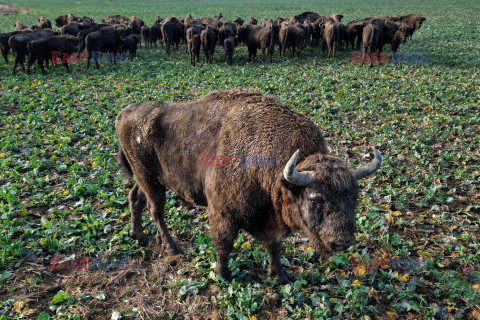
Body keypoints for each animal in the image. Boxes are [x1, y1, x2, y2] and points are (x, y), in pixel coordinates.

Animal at [115, 89, 382, 284]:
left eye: (355, 198)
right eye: (315, 198)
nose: (343, 241)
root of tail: (125, 112)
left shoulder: (270, 220)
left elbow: (274, 247)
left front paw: (281, 277)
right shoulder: (222, 213)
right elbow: (224, 245)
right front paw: (223, 275)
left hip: (147, 179)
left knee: (135, 198)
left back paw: (138, 235)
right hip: (150, 180)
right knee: (156, 210)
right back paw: (172, 249)